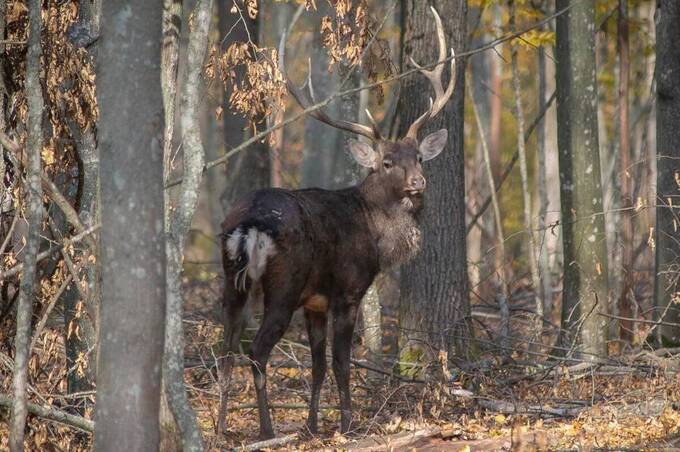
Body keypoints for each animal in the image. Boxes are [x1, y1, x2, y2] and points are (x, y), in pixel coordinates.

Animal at [218, 6, 460, 438]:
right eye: (387, 162)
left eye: (418, 156)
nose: (419, 182)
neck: (376, 233)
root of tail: (248, 223)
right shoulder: (349, 289)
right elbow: (341, 361)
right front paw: (348, 423)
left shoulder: (315, 302)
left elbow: (316, 365)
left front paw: (313, 424)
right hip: (283, 285)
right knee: (257, 351)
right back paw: (267, 430)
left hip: (232, 278)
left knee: (227, 350)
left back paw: (219, 428)